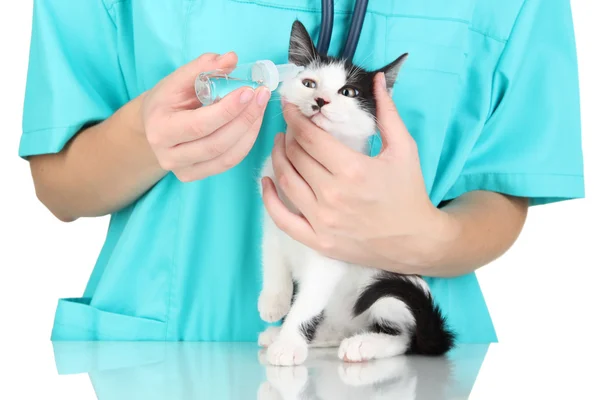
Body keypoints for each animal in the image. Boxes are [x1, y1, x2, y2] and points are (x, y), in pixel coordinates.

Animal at [258, 21, 454, 366]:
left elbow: (307, 303)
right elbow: (272, 257)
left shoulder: (332, 252)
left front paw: (289, 343)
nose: (320, 100)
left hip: (386, 285)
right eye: (309, 82)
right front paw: (274, 302)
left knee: (406, 336)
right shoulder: (271, 210)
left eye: (348, 92)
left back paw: (364, 344)